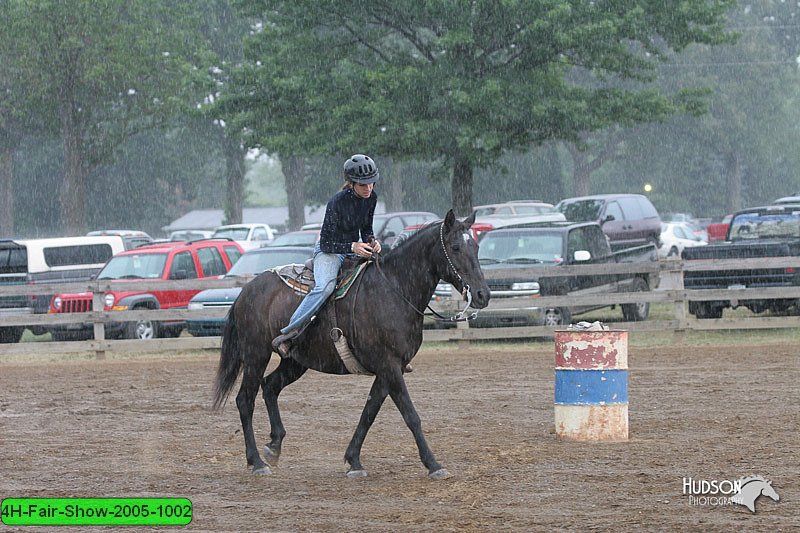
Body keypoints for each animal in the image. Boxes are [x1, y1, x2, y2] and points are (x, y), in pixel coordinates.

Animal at [209, 209, 490, 478]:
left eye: (476, 247)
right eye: (455, 247)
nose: (482, 295)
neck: (394, 289)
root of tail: (245, 291)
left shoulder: (389, 369)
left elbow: (369, 412)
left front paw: (353, 460)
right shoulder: (389, 366)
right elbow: (411, 416)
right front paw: (433, 464)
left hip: (296, 361)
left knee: (270, 386)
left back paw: (274, 447)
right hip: (255, 355)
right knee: (245, 400)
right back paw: (256, 462)